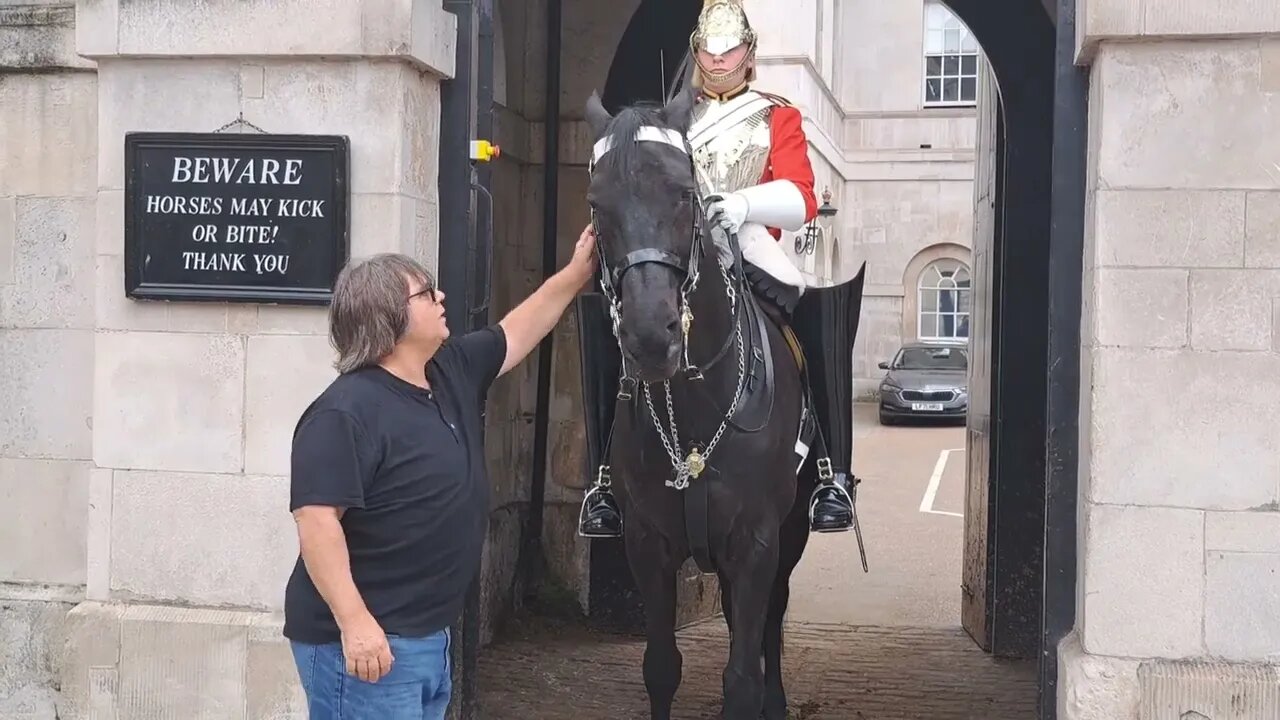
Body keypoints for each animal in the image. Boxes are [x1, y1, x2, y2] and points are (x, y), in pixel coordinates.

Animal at [578, 85, 865, 717]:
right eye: (595, 202)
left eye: (686, 193)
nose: (650, 337)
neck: (692, 404)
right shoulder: (648, 545)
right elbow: (661, 667)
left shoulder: (756, 541)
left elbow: (741, 676)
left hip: (790, 533)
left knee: (769, 622)